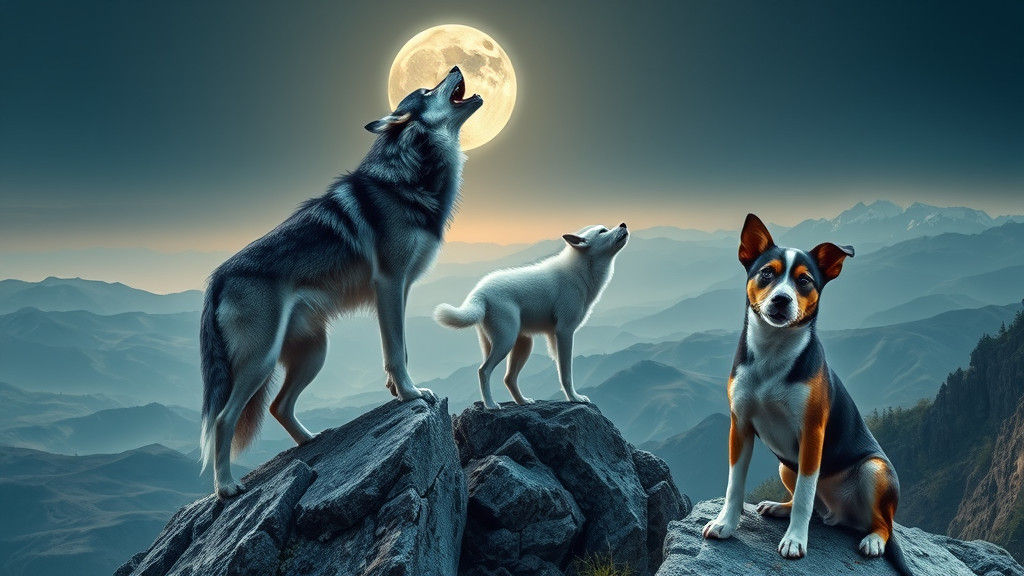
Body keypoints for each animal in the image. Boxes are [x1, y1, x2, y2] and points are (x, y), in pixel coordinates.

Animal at [200, 67, 482, 498]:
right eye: (425, 90)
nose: (454, 67)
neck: (408, 177)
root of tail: (216, 279)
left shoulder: (401, 290)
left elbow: (400, 350)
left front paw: (398, 391)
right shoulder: (389, 284)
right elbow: (396, 350)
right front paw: (411, 394)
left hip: (315, 351)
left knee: (278, 406)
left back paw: (313, 441)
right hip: (260, 361)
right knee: (224, 419)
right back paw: (228, 487)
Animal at [433, 223, 629, 409]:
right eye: (602, 231)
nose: (624, 224)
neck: (580, 271)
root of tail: (478, 293)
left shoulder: (554, 337)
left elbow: (560, 371)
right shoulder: (565, 332)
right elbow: (566, 374)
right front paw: (574, 398)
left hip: (520, 344)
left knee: (508, 378)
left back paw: (522, 402)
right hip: (506, 341)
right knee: (484, 371)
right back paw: (491, 404)